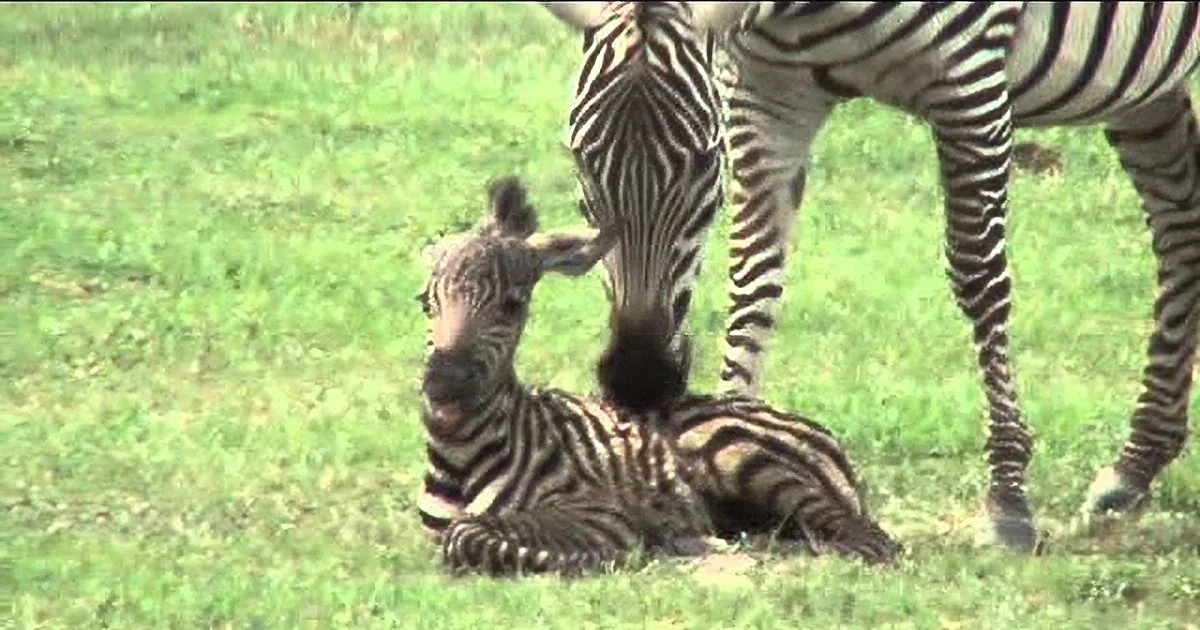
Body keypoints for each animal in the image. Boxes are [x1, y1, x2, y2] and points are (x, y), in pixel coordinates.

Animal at [416, 176, 899, 576]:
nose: (443, 384)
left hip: (738, 453)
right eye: (425, 302)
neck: (460, 455)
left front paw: (575, 557)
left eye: (512, 305)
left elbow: (466, 535)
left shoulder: (598, 511)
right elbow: (457, 534)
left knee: (869, 538)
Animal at [542, 1, 1200, 551]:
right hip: (1148, 88)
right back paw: (1136, 465)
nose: (638, 379)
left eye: (705, 160)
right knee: (1179, 219)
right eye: (579, 157)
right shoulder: (766, 89)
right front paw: (731, 428)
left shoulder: (971, 80)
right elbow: (754, 269)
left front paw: (1008, 498)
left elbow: (979, 276)